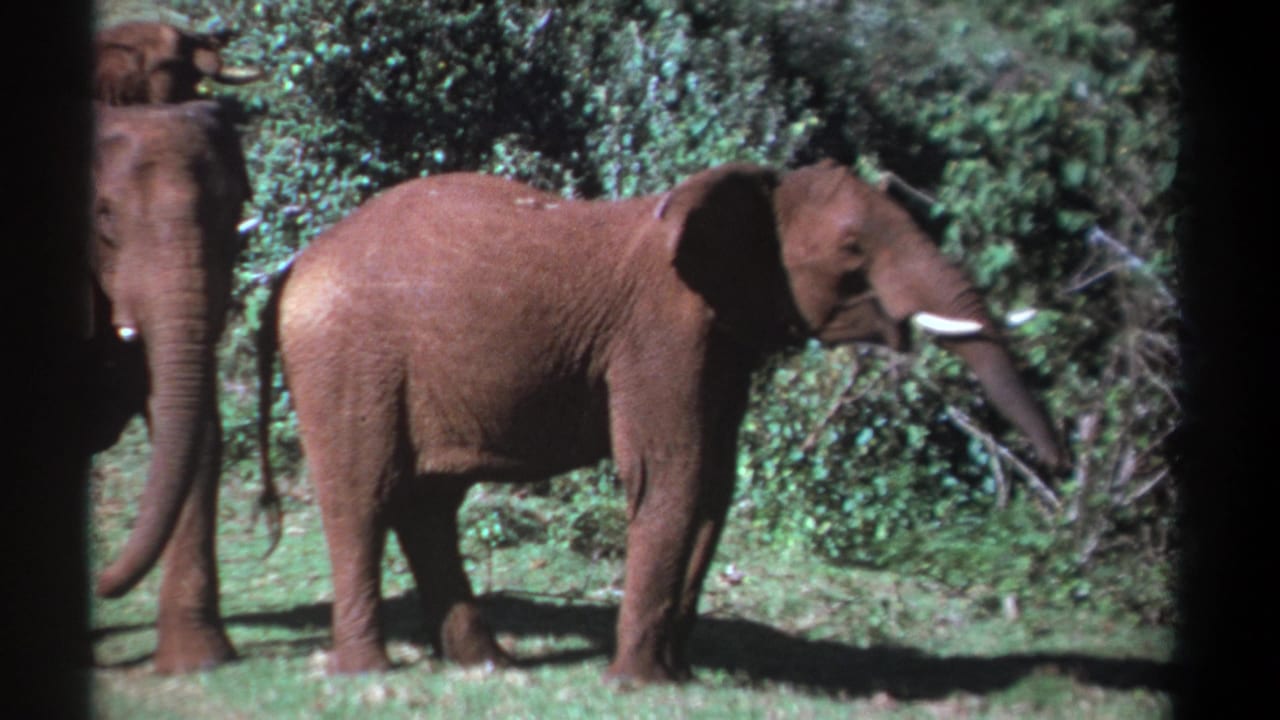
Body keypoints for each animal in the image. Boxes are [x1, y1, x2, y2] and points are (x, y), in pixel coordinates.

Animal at [255, 159, 1066, 683]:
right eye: (852, 249)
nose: (1059, 467)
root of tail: (294, 266)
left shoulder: (722, 339)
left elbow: (714, 483)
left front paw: (678, 680)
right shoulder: (662, 331)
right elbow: (670, 472)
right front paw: (636, 685)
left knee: (429, 505)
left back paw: (490, 668)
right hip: (346, 354)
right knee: (364, 494)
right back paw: (366, 674)